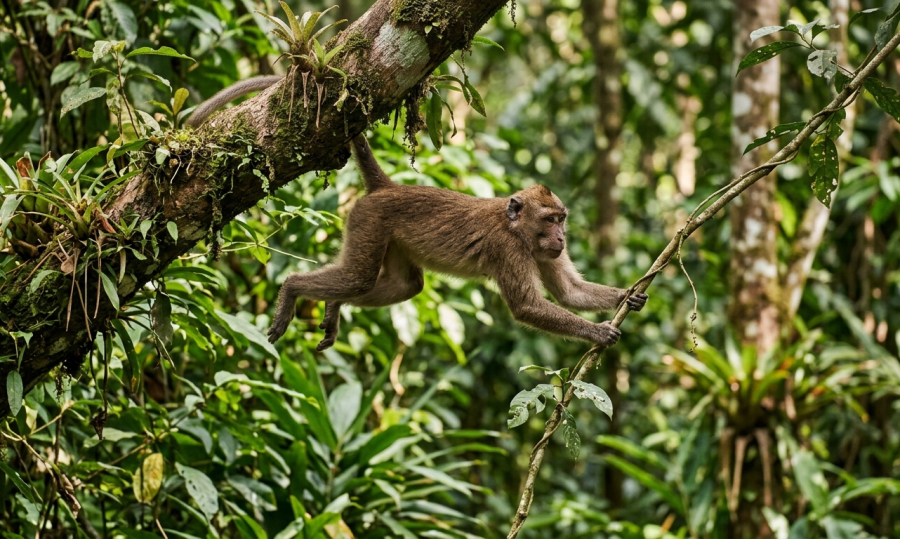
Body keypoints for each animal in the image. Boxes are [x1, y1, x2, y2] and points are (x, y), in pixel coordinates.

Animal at [186, 78, 648, 351]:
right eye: (551, 220)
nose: (562, 240)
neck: (518, 230)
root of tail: (389, 188)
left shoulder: (538, 252)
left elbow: (570, 291)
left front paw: (627, 296)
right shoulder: (508, 250)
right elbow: (527, 307)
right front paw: (597, 332)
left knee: (403, 285)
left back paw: (333, 305)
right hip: (369, 222)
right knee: (358, 277)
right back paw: (293, 289)